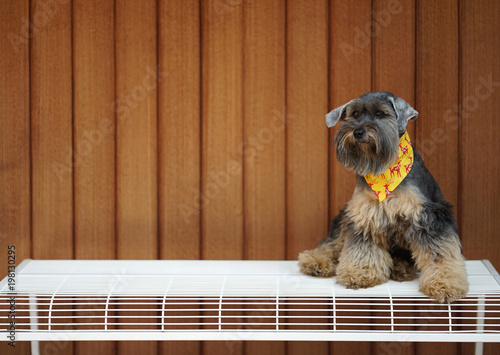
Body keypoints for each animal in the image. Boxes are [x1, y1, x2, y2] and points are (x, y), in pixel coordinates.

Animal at [300, 91, 468, 304]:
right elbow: (362, 248)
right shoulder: (364, 215)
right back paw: (316, 261)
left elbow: (439, 253)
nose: (358, 132)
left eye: (380, 114)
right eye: (355, 114)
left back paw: (401, 268)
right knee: (332, 243)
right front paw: (360, 272)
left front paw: (445, 283)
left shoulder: (429, 216)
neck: (383, 169)